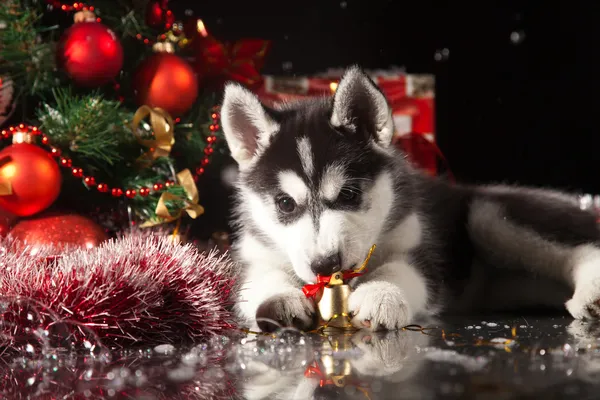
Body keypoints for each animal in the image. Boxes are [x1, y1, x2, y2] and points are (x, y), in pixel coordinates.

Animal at [219, 67, 600, 332]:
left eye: (349, 194)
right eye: (285, 204)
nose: (325, 265)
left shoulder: (420, 249)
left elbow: (401, 270)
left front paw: (381, 294)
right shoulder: (253, 255)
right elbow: (260, 279)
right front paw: (280, 299)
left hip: (489, 215)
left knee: (583, 246)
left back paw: (591, 294)